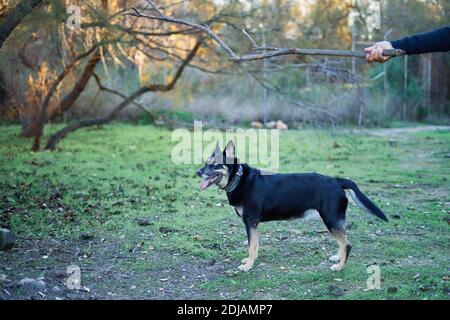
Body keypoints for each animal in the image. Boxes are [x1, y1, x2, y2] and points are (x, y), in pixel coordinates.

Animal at [197, 141, 390, 272]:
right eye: (206, 162)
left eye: (214, 164)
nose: (197, 172)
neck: (238, 179)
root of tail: (336, 180)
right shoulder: (254, 224)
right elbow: (255, 246)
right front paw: (251, 261)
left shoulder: (250, 221)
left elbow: (251, 246)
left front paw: (249, 266)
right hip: (332, 220)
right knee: (342, 242)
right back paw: (338, 257)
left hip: (330, 219)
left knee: (347, 244)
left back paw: (340, 266)